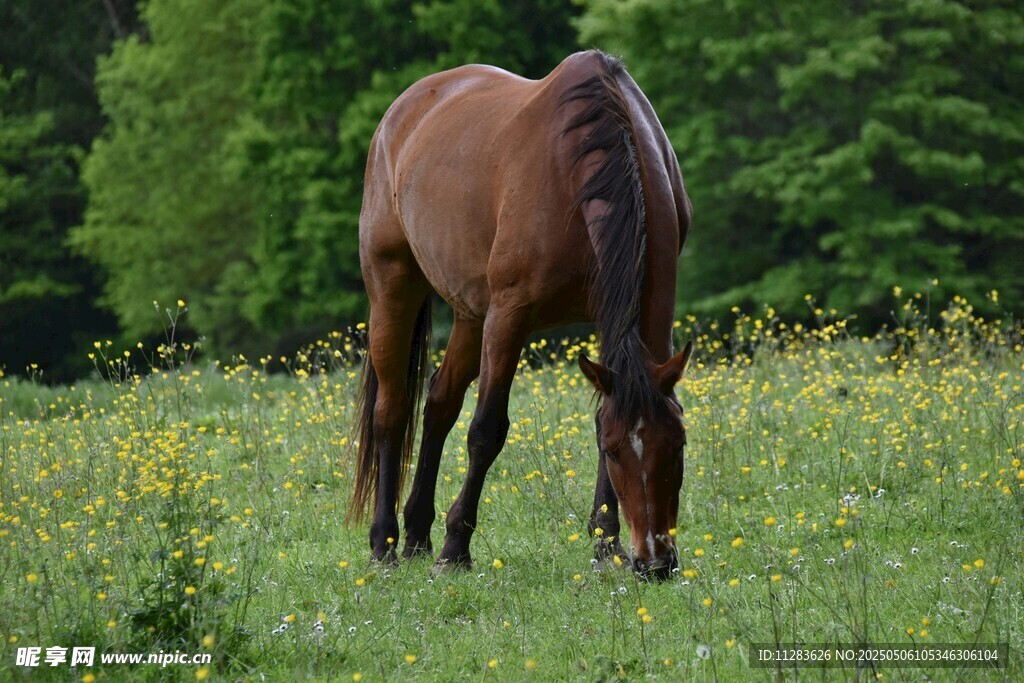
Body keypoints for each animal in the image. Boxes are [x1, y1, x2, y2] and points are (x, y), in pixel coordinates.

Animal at [350, 50, 693, 579]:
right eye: (617, 453)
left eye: (677, 445)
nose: (654, 562)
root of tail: (401, 111)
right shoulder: (509, 315)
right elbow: (487, 429)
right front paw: (455, 549)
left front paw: (605, 543)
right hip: (393, 286)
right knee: (392, 411)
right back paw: (385, 543)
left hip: (471, 313)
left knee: (439, 404)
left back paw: (416, 535)